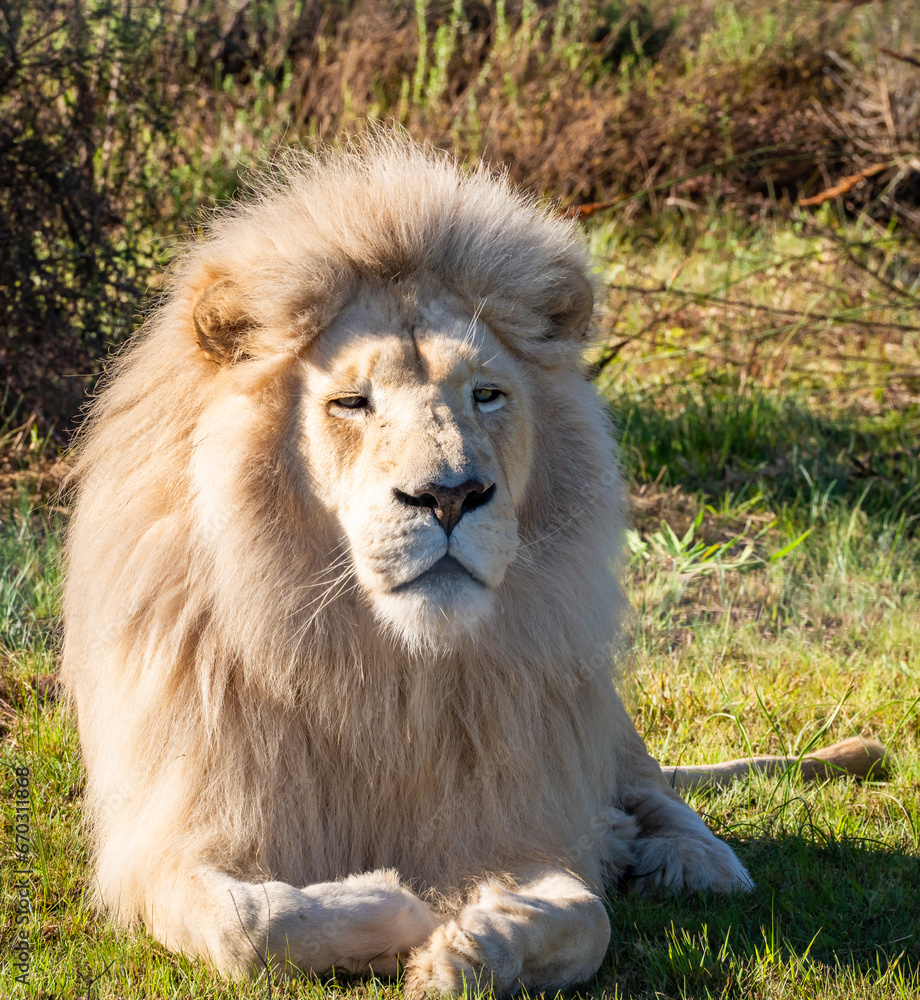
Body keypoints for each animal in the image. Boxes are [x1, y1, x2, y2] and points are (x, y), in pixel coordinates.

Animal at [61, 135, 885, 996]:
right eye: (351, 402)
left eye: (486, 395)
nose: (451, 495)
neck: (386, 673)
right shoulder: (166, 842)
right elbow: (254, 926)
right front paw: (401, 911)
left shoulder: (515, 818)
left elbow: (585, 917)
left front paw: (462, 949)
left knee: (656, 787)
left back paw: (685, 857)